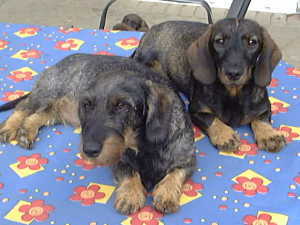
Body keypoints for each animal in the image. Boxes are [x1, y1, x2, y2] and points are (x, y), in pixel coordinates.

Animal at [0, 54, 196, 214]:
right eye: (87, 104)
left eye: (122, 105)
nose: (89, 150)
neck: (143, 147)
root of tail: (59, 63)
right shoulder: (118, 161)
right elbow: (130, 172)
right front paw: (130, 194)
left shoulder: (188, 161)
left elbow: (175, 174)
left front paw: (166, 194)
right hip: (47, 93)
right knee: (24, 107)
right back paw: (9, 128)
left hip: (58, 110)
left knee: (42, 115)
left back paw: (26, 131)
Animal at [134, 18, 286, 154]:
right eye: (219, 41)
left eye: (252, 42)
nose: (233, 73)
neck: (234, 93)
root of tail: (150, 31)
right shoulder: (195, 111)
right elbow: (211, 119)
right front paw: (225, 135)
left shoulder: (265, 107)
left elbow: (261, 119)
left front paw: (269, 135)